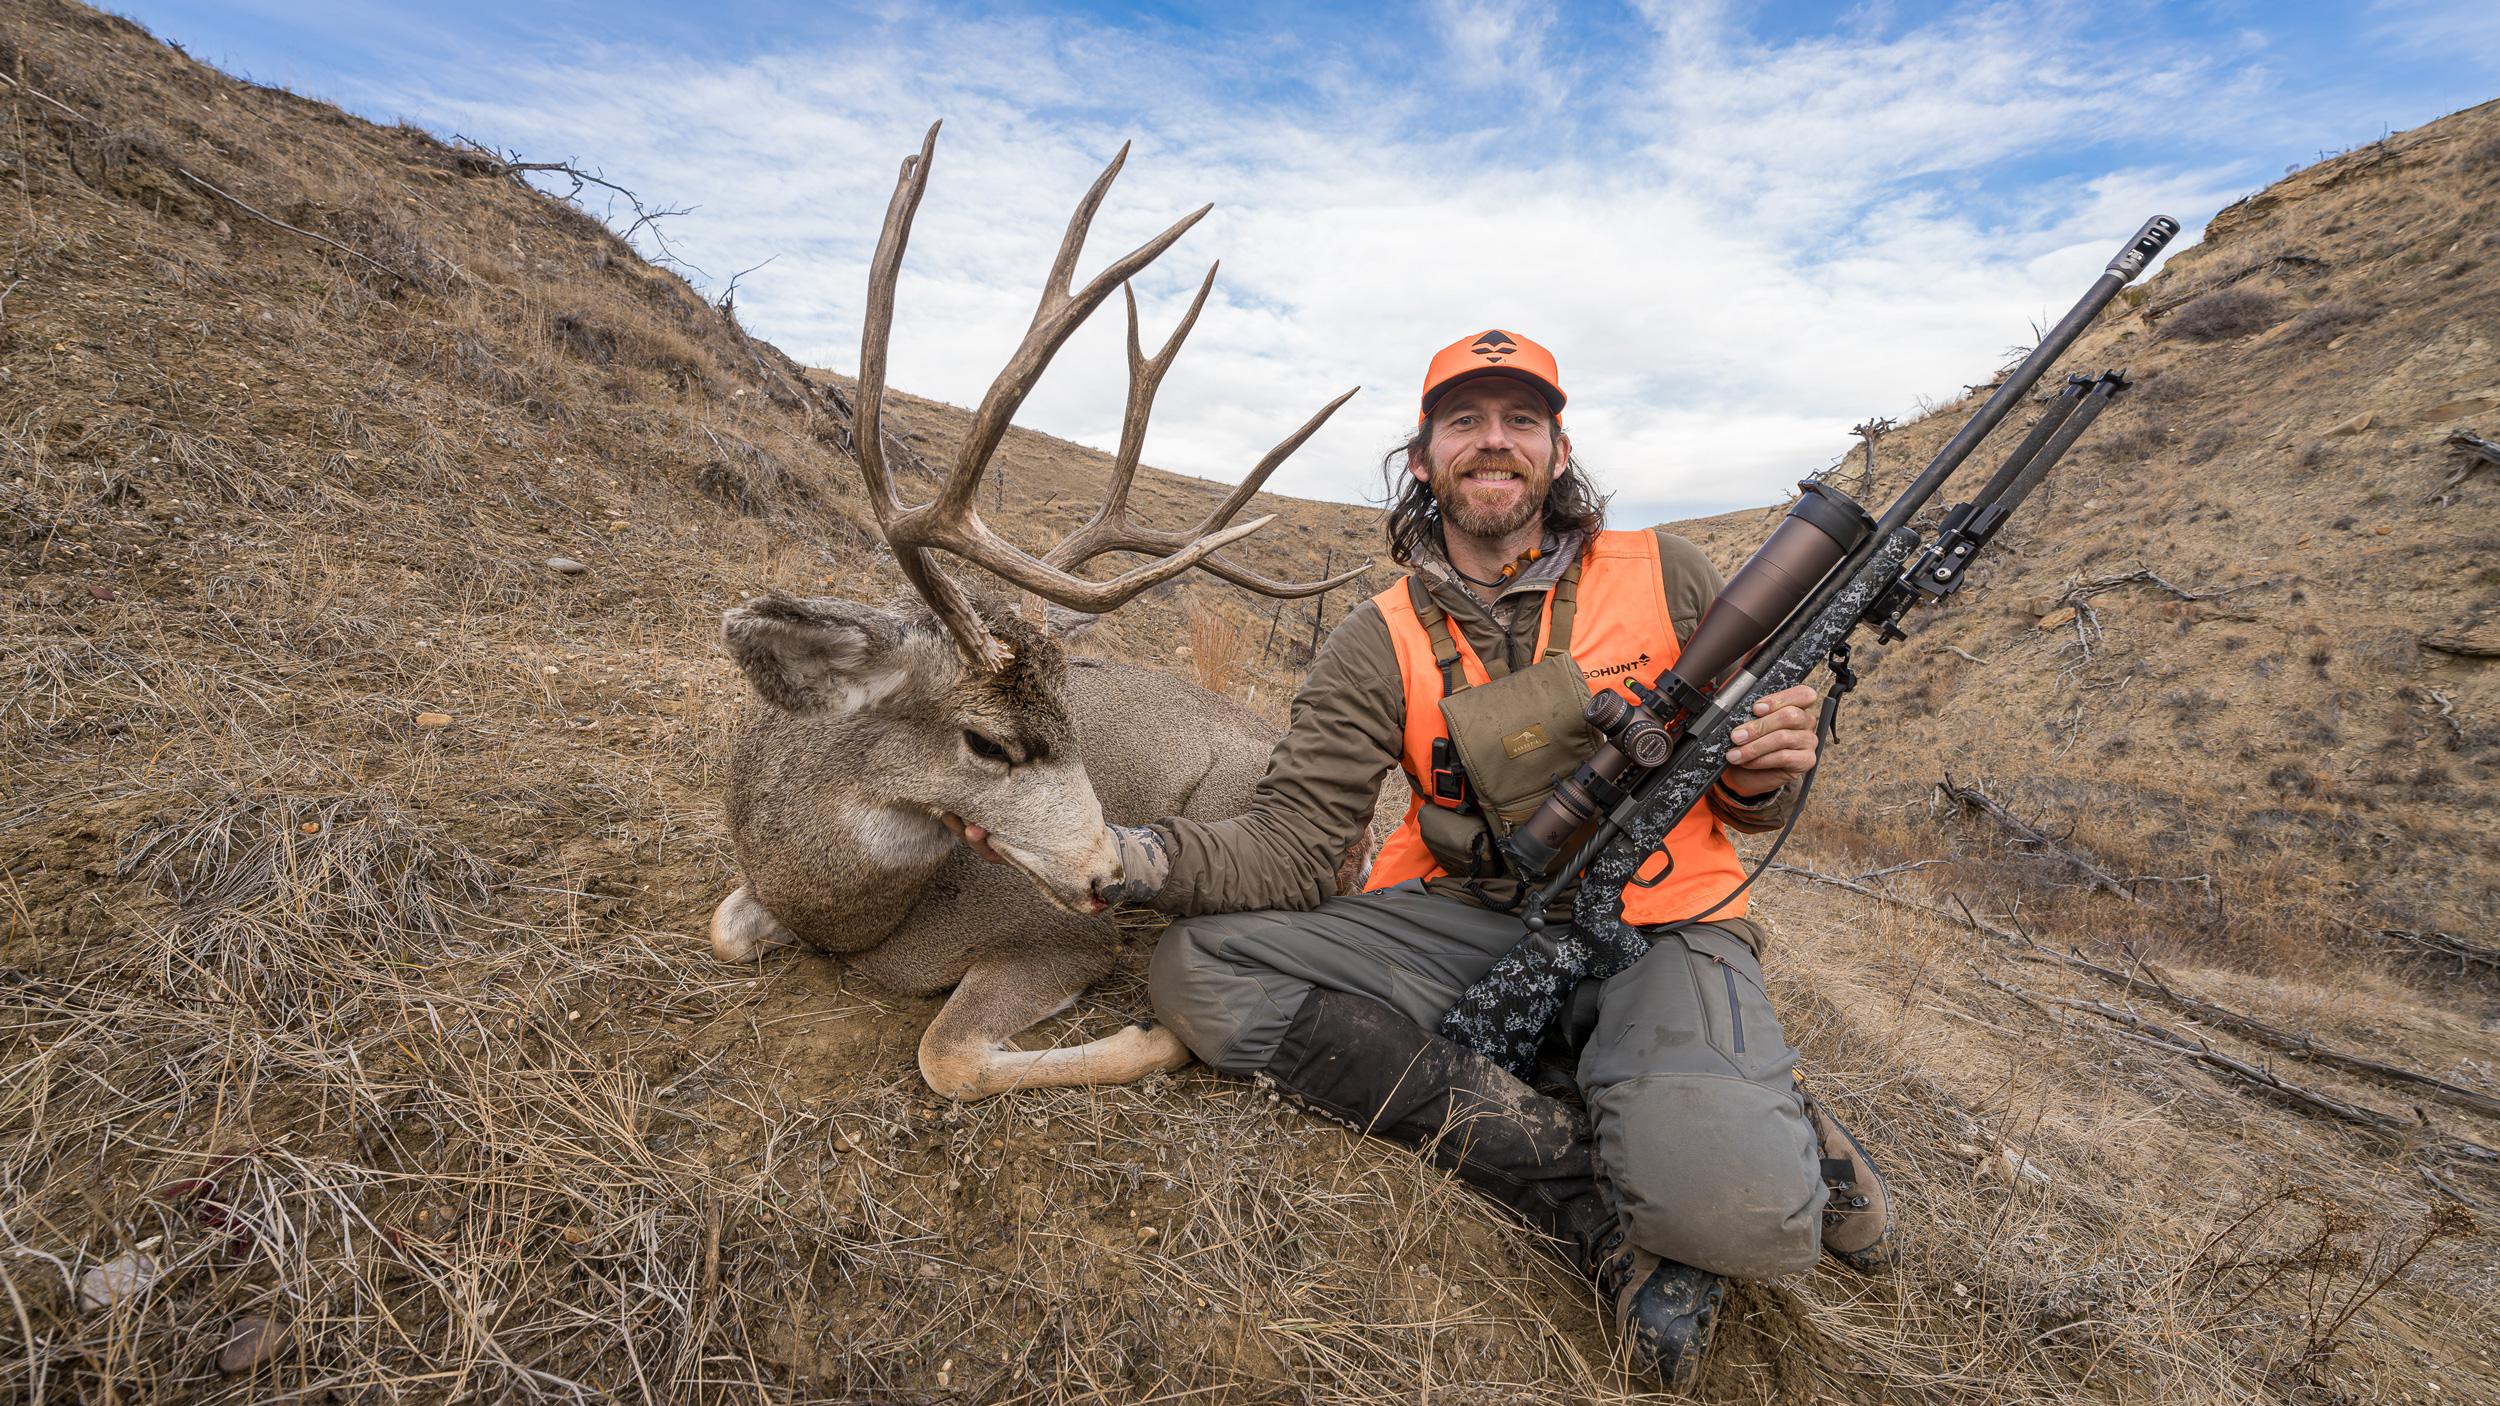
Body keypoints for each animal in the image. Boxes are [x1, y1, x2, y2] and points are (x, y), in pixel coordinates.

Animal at [710, 123, 1366, 1100]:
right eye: (990, 744)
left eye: (1074, 721)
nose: (1108, 872)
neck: (851, 915)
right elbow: (727, 929)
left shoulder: (1060, 931)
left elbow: (946, 1055)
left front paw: (1157, 1037)